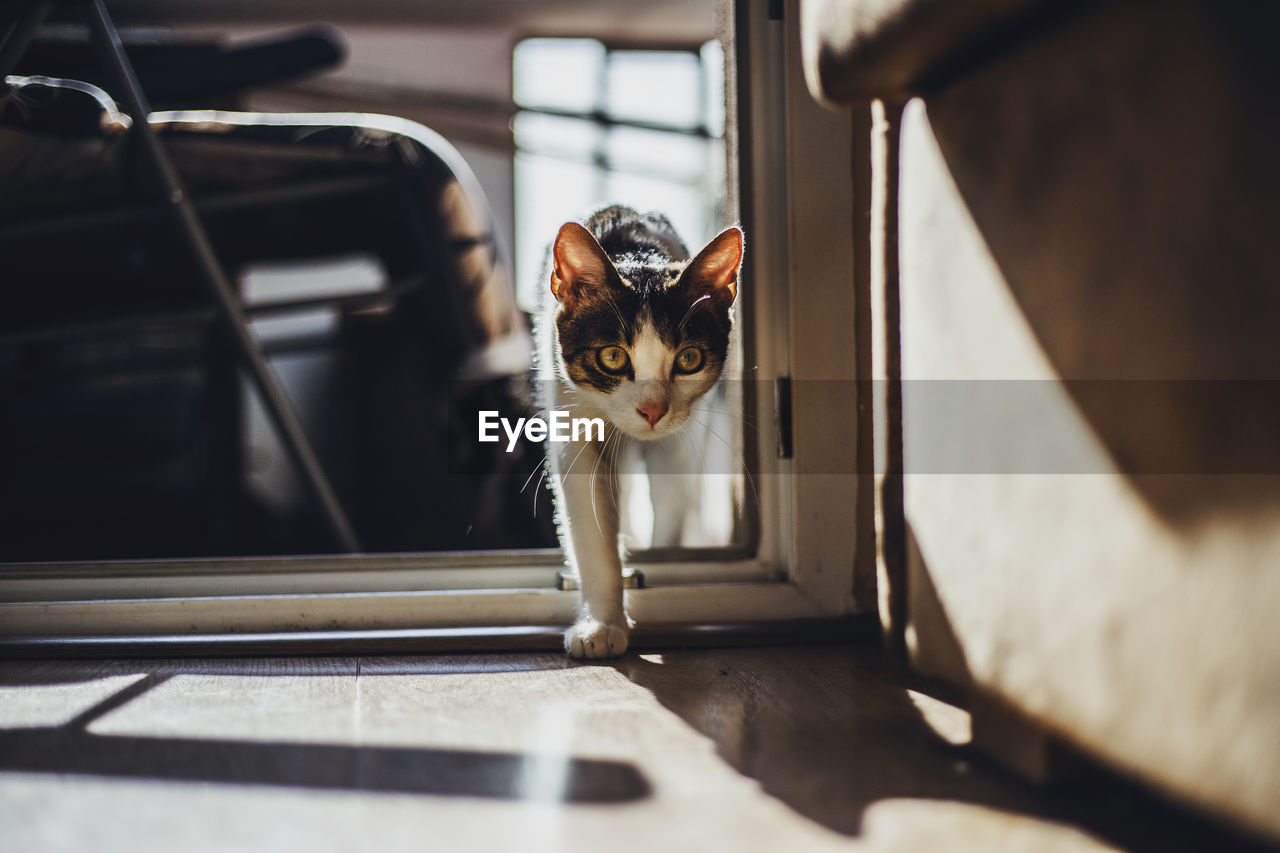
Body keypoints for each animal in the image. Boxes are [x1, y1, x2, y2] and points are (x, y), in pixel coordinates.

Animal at [537, 206, 742, 655]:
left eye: (689, 359)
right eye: (612, 357)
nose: (652, 409)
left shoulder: (681, 440)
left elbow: (670, 504)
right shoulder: (572, 416)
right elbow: (591, 520)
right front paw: (601, 625)